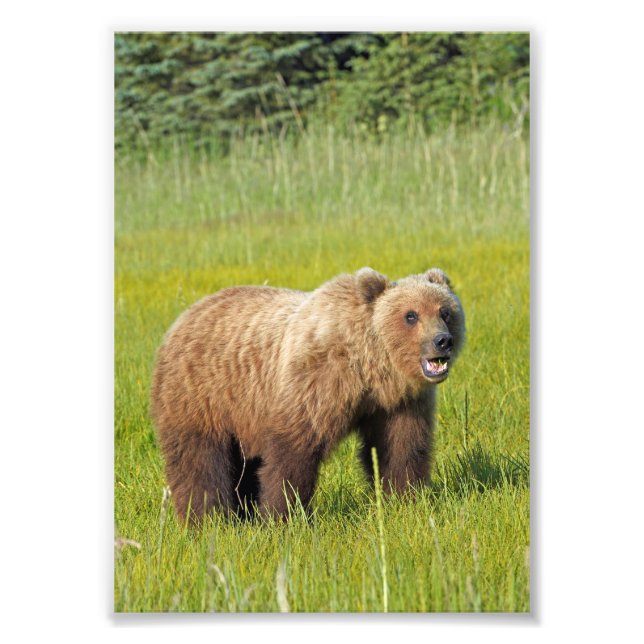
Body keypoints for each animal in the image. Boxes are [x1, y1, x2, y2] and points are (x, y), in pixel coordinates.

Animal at [150, 267, 465, 522]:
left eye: (445, 311)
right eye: (411, 315)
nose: (442, 340)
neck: (370, 368)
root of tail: (182, 318)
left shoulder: (400, 402)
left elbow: (401, 448)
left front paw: (406, 499)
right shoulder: (315, 382)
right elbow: (294, 450)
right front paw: (285, 516)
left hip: (244, 414)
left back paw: (243, 514)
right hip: (202, 395)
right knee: (199, 460)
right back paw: (206, 519)